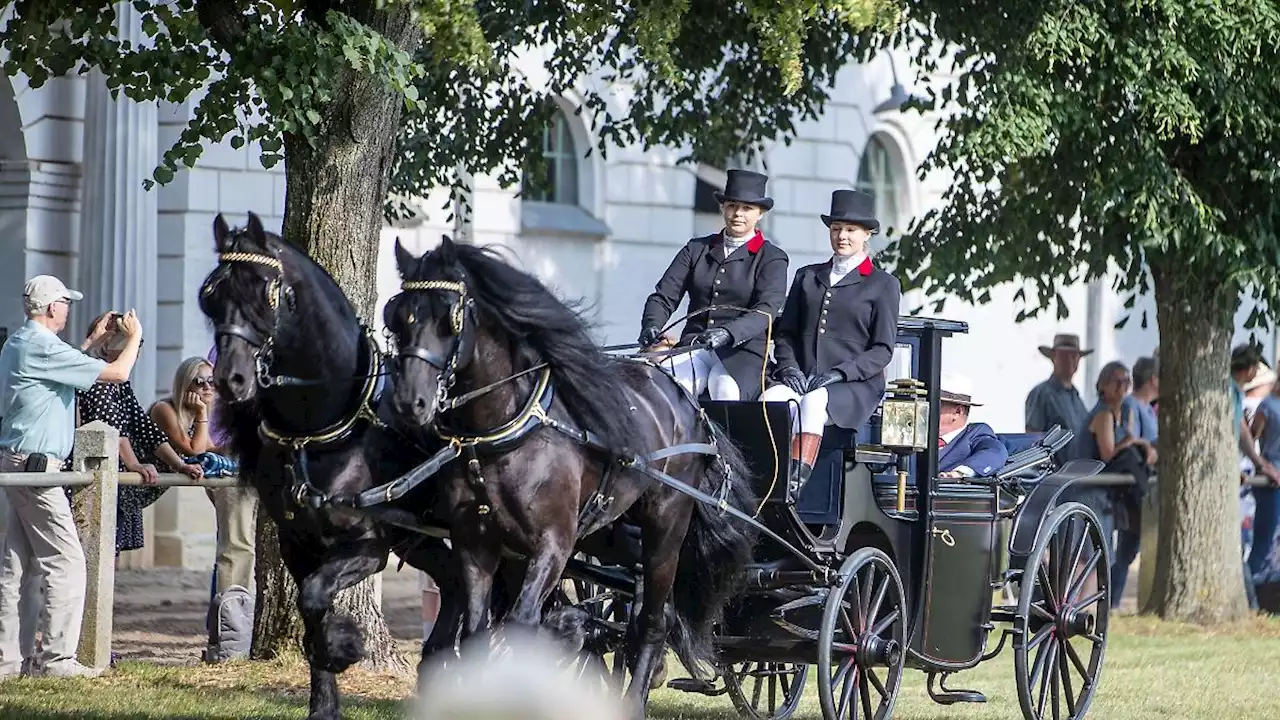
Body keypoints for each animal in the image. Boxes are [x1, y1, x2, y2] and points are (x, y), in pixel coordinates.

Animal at [199, 212, 476, 717]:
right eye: (211, 295)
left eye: (265, 292)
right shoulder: (298, 541)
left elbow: (314, 595)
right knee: (455, 584)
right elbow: (311, 607)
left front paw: (344, 647)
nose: (230, 381)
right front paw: (325, 697)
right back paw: (438, 662)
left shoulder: (368, 544)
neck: (326, 429)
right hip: (419, 537)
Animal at [384, 238, 752, 707]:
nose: (409, 402)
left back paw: (633, 695)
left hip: (666, 527)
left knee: (655, 620)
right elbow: (478, 634)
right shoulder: (475, 543)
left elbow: (524, 625)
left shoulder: (554, 542)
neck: (507, 428)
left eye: (450, 315)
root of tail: (690, 404)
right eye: (397, 316)